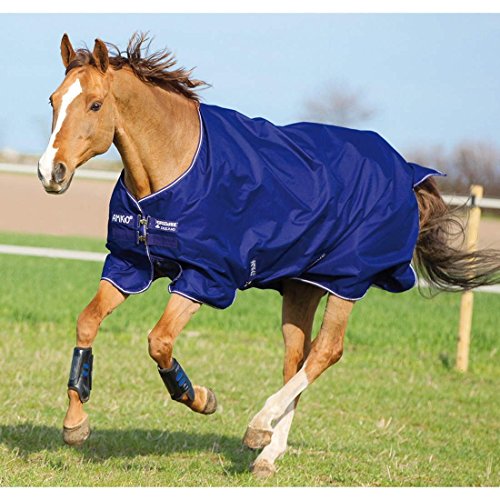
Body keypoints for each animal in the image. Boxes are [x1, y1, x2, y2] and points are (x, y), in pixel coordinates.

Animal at [37, 33, 500, 479]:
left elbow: (159, 342)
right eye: (53, 100)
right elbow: (87, 322)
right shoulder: (130, 265)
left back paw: (258, 427)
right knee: (297, 359)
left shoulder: (205, 278)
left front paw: (200, 398)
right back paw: (268, 454)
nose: (49, 172)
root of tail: (406, 172)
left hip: (347, 281)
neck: (176, 165)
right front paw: (75, 424)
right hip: (302, 286)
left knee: (326, 352)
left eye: (95, 104)